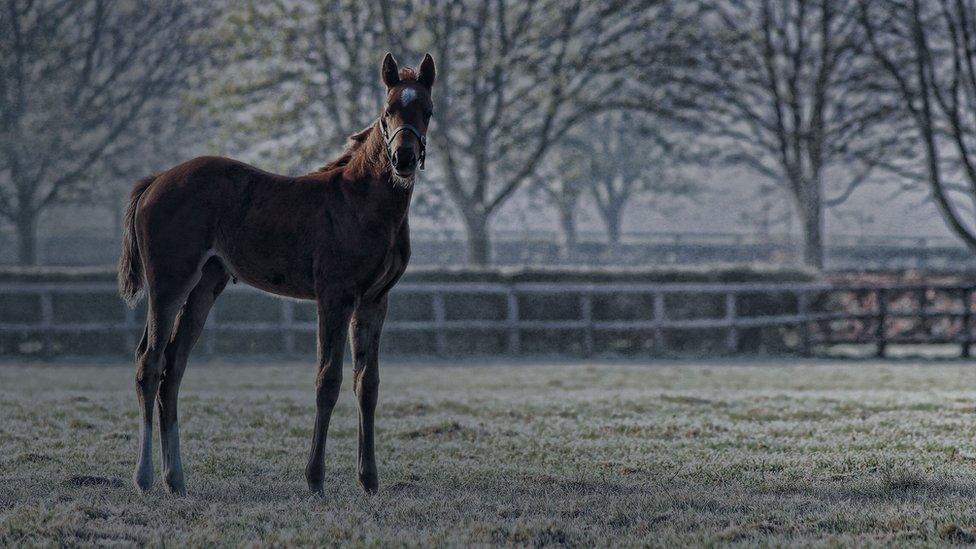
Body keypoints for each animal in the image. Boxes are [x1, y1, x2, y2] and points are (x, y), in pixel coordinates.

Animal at [116, 53, 432, 494]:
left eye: (427, 111)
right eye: (387, 112)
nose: (403, 158)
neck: (361, 203)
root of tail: (155, 181)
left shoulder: (374, 301)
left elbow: (367, 384)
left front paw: (369, 480)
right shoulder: (334, 297)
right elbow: (327, 380)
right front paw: (315, 479)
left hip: (205, 286)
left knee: (173, 368)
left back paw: (175, 480)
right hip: (169, 284)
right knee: (149, 363)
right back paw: (144, 478)